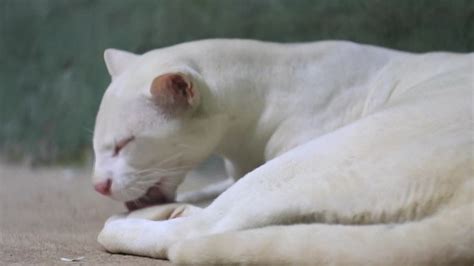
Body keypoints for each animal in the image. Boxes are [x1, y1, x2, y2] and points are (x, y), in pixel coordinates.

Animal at [90, 39, 472, 264]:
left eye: (124, 144)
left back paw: (129, 223)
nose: (97, 185)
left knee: (205, 227)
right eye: (97, 147)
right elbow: (206, 190)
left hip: (309, 161)